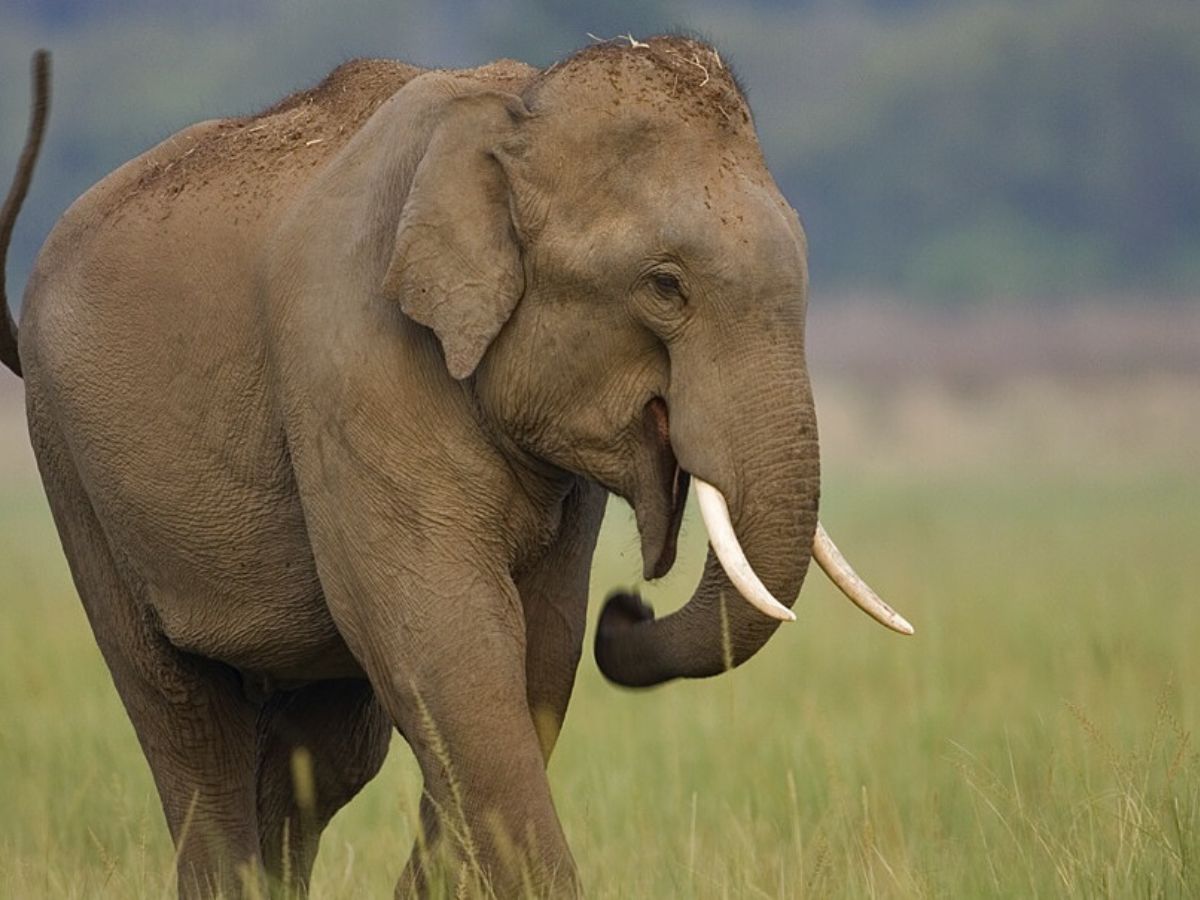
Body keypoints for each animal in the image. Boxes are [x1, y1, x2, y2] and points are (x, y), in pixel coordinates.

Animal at [1, 37, 911, 898]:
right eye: (664, 286)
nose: (628, 609)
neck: (513, 113)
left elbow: (534, 655)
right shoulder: (354, 362)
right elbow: (453, 649)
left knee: (322, 755)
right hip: (69, 464)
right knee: (186, 724)